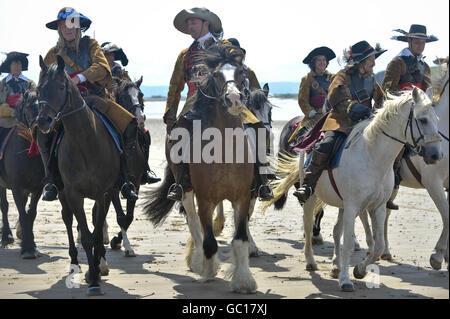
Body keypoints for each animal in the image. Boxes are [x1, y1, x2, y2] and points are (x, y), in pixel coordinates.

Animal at [0, 89, 44, 258]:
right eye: (29, 107)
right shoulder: (16, 187)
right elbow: (22, 212)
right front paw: (28, 248)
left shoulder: (38, 188)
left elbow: (30, 213)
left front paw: (30, 244)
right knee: (4, 206)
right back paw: (6, 236)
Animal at [38, 53, 144, 296]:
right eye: (40, 88)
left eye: (61, 86)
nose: (43, 121)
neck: (85, 141)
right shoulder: (74, 194)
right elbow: (86, 235)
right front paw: (93, 277)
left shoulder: (102, 192)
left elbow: (96, 233)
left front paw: (96, 270)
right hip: (63, 195)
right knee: (68, 221)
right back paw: (75, 263)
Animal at [142, 44, 258, 296]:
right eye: (216, 75)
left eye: (241, 73)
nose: (234, 99)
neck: (225, 150)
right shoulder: (205, 199)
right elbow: (208, 239)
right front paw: (208, 270)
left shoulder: (242, 197)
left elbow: (240, 239)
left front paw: (244, 280)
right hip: (185, 191)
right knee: (194, 223)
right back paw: (196, 260)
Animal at [264, 87, 442, 292]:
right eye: (423, 120)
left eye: (436, 119)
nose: (436, 155)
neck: (373, 156)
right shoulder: (353, 206)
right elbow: (348, 243)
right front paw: (346, 280)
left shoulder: (377, 207)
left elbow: (378, 245)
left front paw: (359, 270)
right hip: (311, 197)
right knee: (308, 226)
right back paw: (311, 261)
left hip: (343, 206)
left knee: (336, 231)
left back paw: (335, 266)